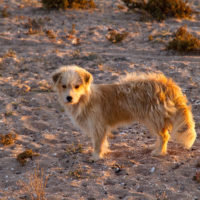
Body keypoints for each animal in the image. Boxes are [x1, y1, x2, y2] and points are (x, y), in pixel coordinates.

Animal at [51, 65, 195, 161]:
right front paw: (103, 152)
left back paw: (159, 152)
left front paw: (96, 156)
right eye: (64, 86)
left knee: (164, 136)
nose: (69, 98)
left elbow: (98, 143)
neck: (86, 99)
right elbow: (102, 142)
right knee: (162, 136)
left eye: (77, 86)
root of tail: (167, 84)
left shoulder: (98, 126)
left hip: (154, 118)